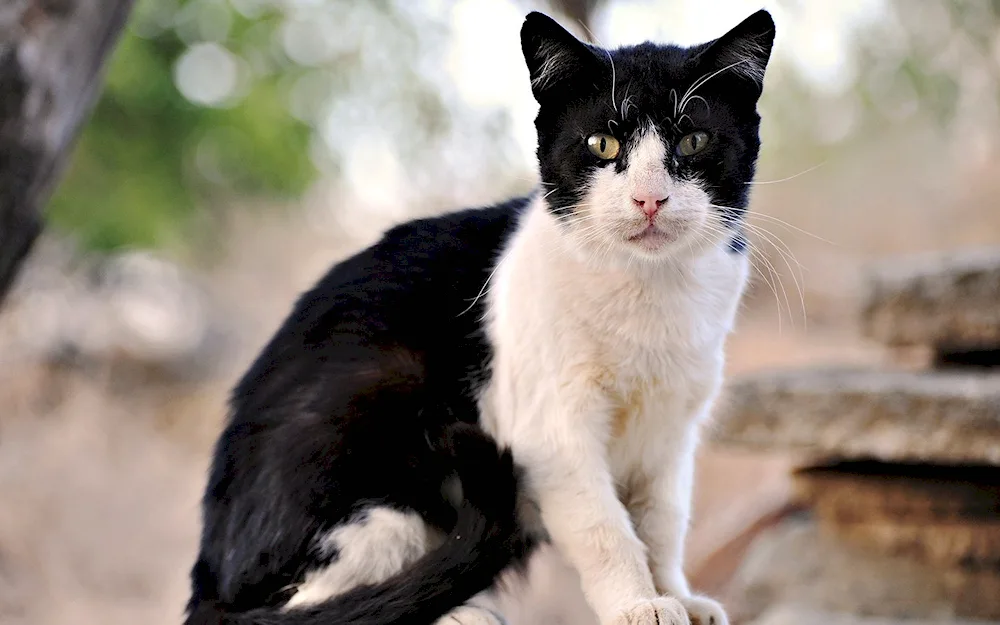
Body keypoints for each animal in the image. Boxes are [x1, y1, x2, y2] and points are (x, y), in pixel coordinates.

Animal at [184, 8, 776, 624]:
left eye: (694, 139)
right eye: (602, 142)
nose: (649, 199)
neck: (649, 293)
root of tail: (209, 580)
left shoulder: (669, 433)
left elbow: (662, 524)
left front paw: (676, 595)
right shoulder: (552, 431)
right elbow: (605, 528)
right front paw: (638, 604)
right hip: (382, 434)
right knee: (312, 602)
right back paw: (458, 612)